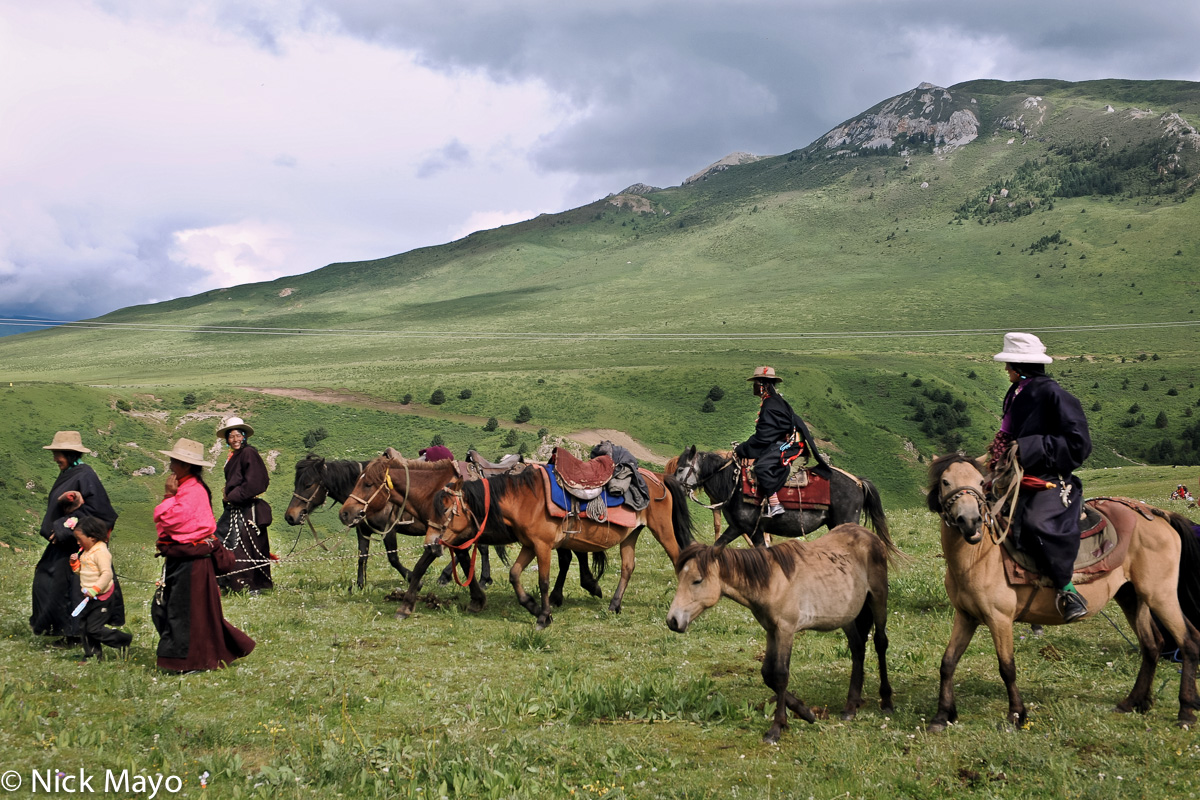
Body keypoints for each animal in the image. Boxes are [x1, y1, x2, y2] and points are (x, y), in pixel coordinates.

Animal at [338, 455, 604, 618]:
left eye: (368, 485)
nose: (345, 513)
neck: (436, 491)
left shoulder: (447, 535)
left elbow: (424, 565)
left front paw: (406, 604)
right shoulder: (452, 536)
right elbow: (465, 562)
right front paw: (477, 598)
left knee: (573, 555)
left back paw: (585, 587)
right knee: (569, 556)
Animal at [432, 465, 696, 628]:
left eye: (446, 509)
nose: (433, 542)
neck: (526, 499)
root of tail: (659, 478)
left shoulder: (542, 546)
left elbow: (544, 581)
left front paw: (543, 616)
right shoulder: (529, 545)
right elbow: (514, 574)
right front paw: (531, 605)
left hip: (662, 530)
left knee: (678, 560)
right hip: (631, 534)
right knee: (628, 567)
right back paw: (614, 605)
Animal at [667, 525, 902, 743]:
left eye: (697, 580)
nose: (673, 620)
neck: (773, 581)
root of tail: (868, 534)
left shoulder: (786, 630)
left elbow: (780, 676)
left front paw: (777, 727)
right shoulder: (772, 630)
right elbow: (767, 674)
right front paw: (806, 713)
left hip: (878, 599)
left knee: (880, 643)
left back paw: (886, 701)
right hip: (847, 616)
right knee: (857, 648)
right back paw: (851, 706)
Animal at [676, 448, 892, 546]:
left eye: (680, 469)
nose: (674, 487)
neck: (735, 486)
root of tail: (857, 482)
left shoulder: (753, 529)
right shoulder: (737, 528)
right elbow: (717, 546)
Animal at [926, 453, 1200, 729]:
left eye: (981, 482)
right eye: (945, 482)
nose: (970, 521)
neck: (979, 556)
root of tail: (1157, 514)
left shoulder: (999, 619)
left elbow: (1007, 667)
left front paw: (1017, 715)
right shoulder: (966, 617)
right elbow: (948, 662)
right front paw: (942, 716)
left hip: (1160, 595)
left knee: (1188, 641)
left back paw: (1185, 711)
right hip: (1133, 597)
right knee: (1152, 645)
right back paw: (1133, 703)